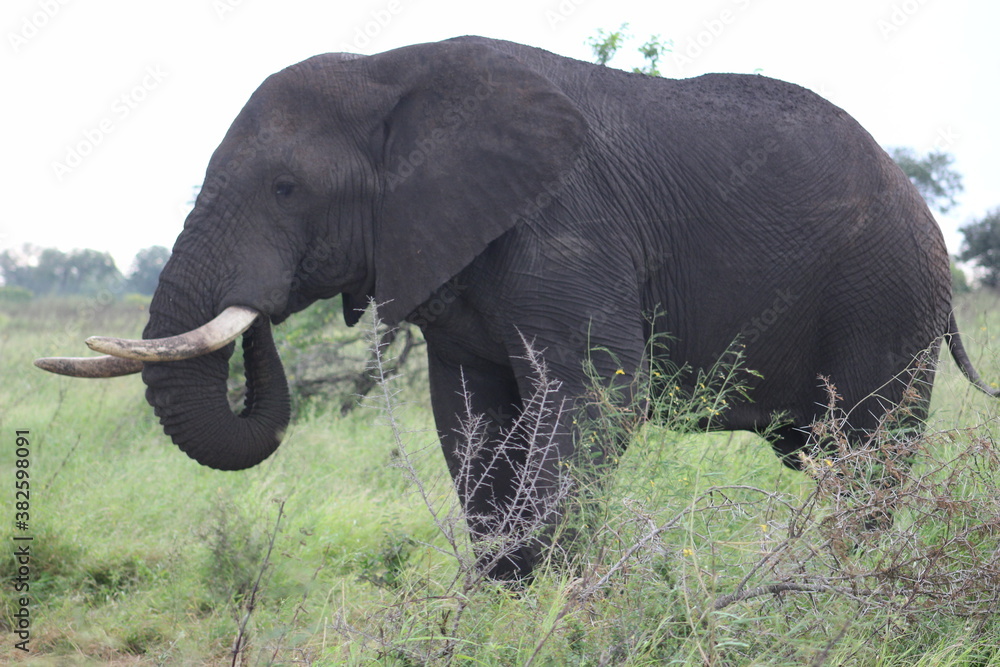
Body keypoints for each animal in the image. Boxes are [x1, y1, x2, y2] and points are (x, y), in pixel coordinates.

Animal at [35, 36, 996, 580]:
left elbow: (600, 391)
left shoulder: (569, 223)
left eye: (285, 187)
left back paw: (845, 580)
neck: (389, 77)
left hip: (887, 297)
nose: (262, 312)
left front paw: (554, 597)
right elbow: (469, 414)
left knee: (867, 454)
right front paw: (509, 595)